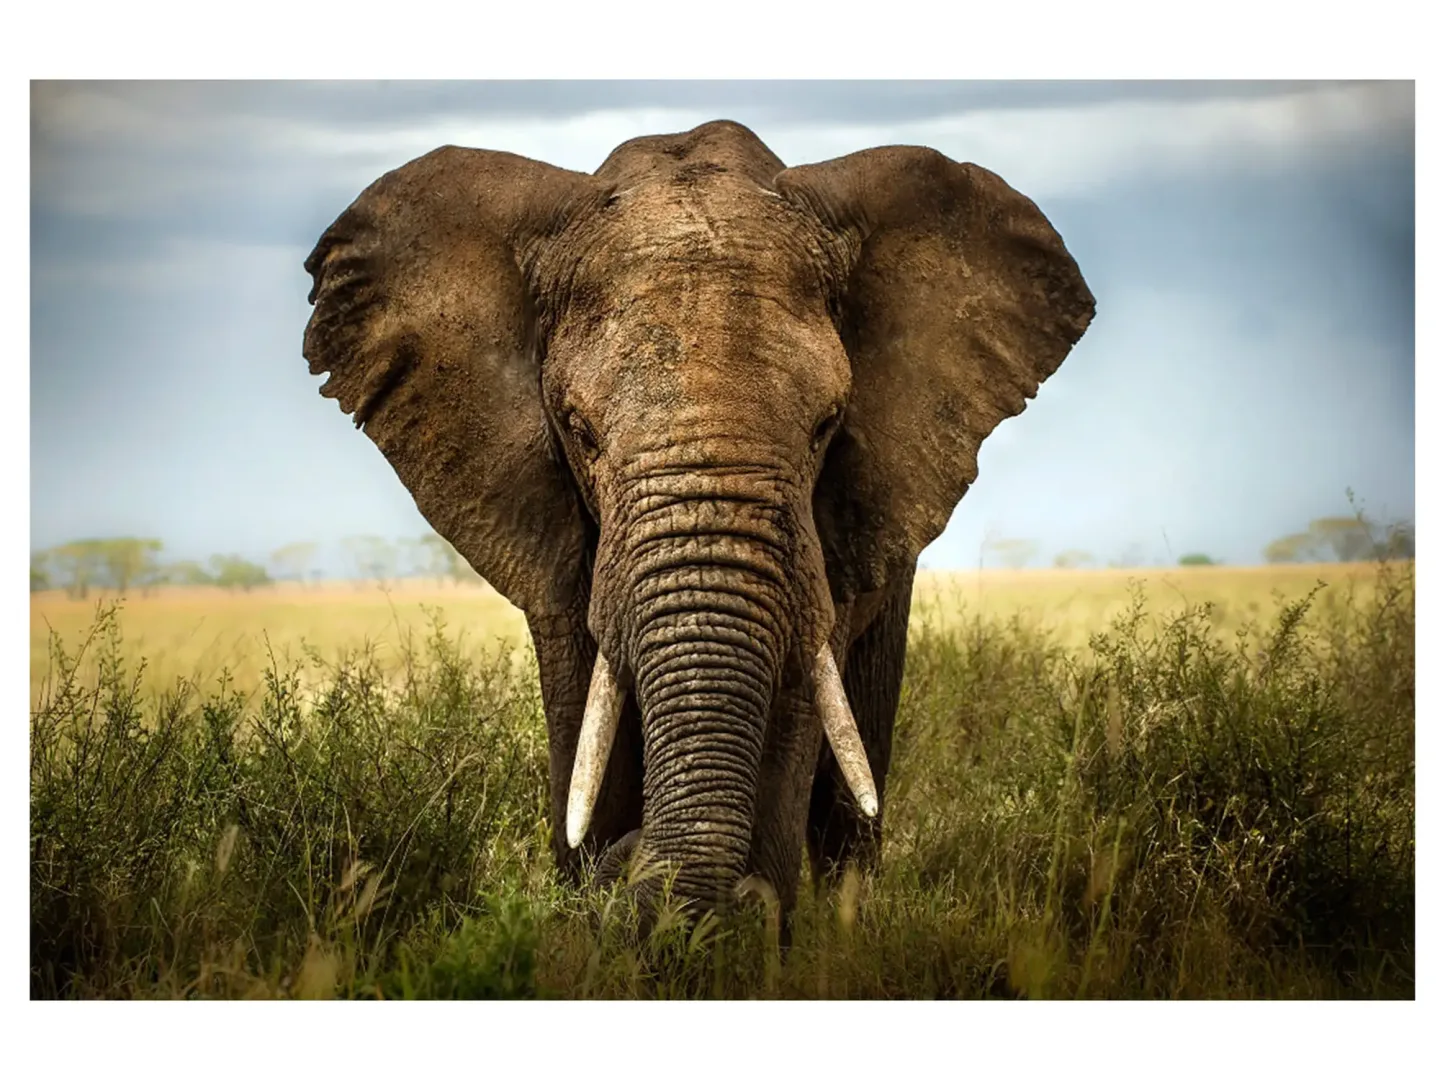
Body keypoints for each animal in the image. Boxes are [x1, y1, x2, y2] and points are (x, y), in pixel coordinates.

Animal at [302, 119, 1094, 924]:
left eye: (826, 427)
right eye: (579, 431)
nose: (630, 862)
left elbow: (794, 710)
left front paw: (741, 927)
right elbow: (584, 719)